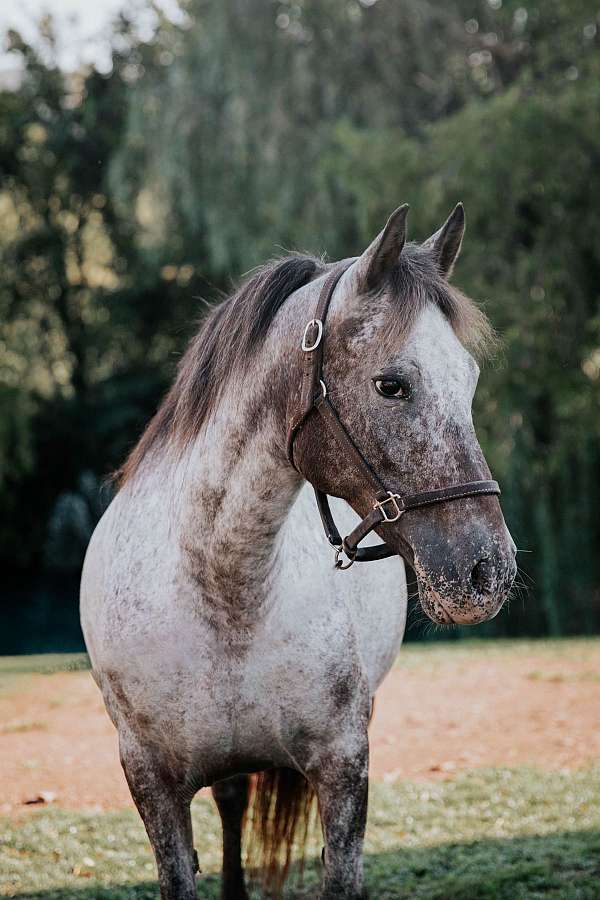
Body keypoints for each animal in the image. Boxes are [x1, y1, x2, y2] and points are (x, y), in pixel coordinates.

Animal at [80, 202, 516, 900]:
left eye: (470, 380)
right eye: (391, 385)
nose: (487, 572)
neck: (224, 587)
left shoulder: (342, 766)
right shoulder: (150, 782)